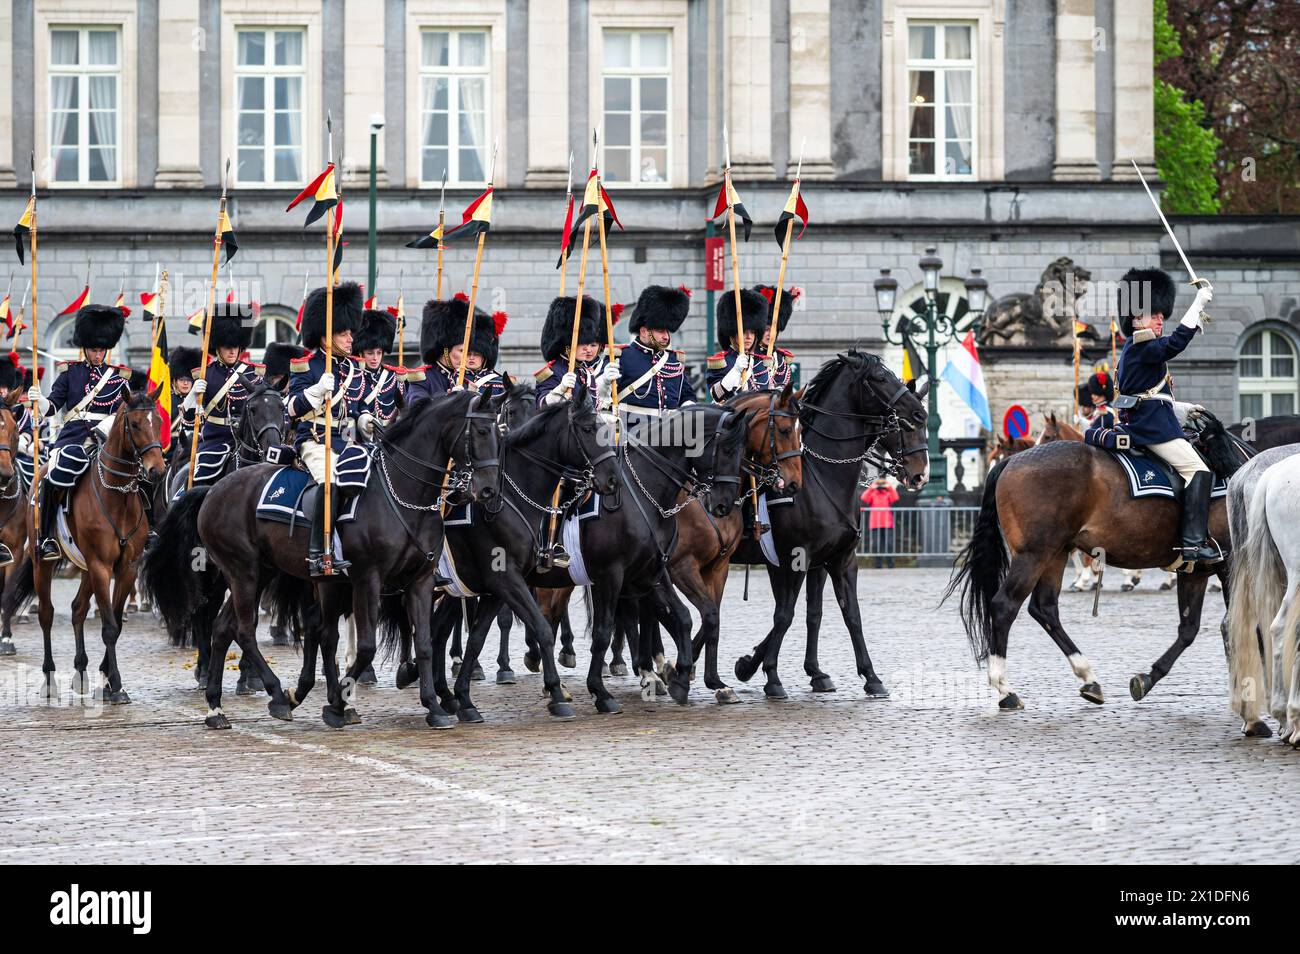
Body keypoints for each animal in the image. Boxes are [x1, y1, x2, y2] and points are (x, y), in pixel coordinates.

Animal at [19, 389, 167, 701]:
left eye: (158, 421)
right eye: (135, 424)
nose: (156, 471)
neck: (117, 496)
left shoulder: (126, 568)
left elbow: (117, 623)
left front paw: (107, 680)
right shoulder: (101, 566)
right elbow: (109, 626)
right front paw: (116, 684)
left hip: (85, 566)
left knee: (77, 609)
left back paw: (81, 672)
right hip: (43, 564)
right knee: (47, 614)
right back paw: (49, 679)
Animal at [728, 350, 930, 701]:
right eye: (880, 377)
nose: (920, 474)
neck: (823, 477)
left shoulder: (835, 560)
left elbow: (834, 614)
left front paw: (861, 675)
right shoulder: (792, 561)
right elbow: (784, 614)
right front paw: (769, 674)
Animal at [946, 415, 1248, 712]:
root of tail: (1014, 462)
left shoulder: (1196, 571)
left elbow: (1189, 629)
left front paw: (1148, 678)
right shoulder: (1228, 565)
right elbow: (1230, 624)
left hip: (1054, 554)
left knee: (1044, 609)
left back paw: (1088, 678)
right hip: (1033, 555)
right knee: (1005, 605)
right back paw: (1005, 689)